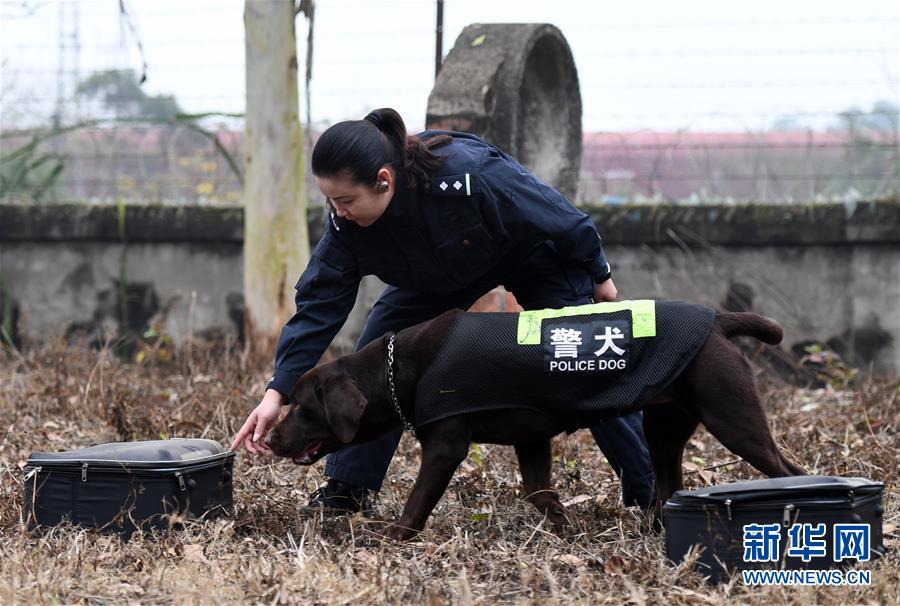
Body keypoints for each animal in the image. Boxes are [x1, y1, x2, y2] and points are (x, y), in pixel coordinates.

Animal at [264, 308, 804, 540]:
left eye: (301, 407)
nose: (269, 438)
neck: (400, 371)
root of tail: (719, 322)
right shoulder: (532, 441)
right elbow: (541, 495)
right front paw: (567, 533)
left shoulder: (445, 447)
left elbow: (416, 505)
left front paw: (390, 538)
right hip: (665, 426)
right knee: (668, 479)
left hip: (732, 417)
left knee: (788, 470)